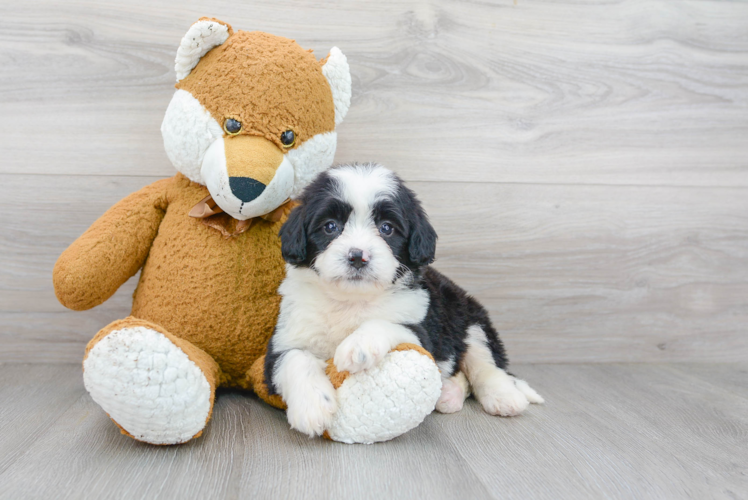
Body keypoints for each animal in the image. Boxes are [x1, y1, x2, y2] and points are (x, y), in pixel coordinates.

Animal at [264, 164, 544, 438]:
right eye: (330, 226)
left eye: (387, 228)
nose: (357, 257)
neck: (350, 301)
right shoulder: (284, 338)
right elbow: (294, 358)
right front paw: (312, 406)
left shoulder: (421, 332)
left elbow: (385, 323)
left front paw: (358, 345)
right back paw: (449, 394)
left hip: (469, 317)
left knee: (484, 363)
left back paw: (503, 397)